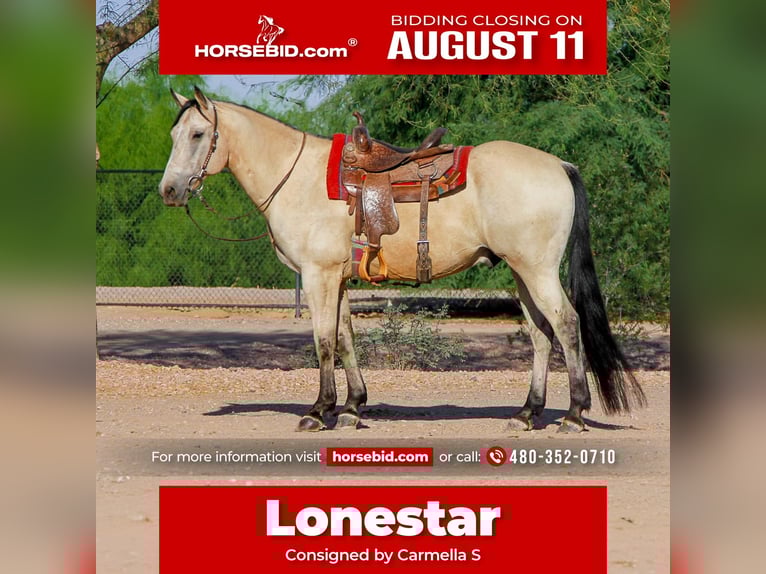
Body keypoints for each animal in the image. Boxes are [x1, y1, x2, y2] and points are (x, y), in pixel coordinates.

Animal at [159, 87, 646, 433]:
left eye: (198, 135)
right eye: (174, 136)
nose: (170, 190)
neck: (297, 177)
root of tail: (559, 165)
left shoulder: (318, 276)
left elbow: (323, 341)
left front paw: (318, 411)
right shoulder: (337, 279)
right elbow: (345, 338)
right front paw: (352, 408)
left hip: (537, 270)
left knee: (566, 324)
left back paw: (574, 414)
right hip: (522, 273)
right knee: (541, 334)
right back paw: (527, 413)